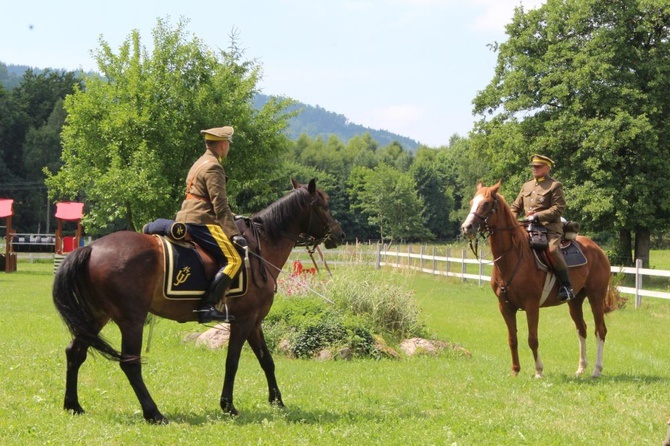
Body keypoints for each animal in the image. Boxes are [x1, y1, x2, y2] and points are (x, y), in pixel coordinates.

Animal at [51, 179, 344, 424]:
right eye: (323, 205)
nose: (339, 234)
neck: (260, 249)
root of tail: (91, 248)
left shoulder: (255, 322)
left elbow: (267, 361)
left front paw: (277, 402)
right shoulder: (243, 321)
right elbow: (233, 362)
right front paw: (228, 406)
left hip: (96, 317)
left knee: (75, 352)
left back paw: (73, 405)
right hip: (131, 320)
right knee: (130, 363)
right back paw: (153, 413)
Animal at [462, 179, 620, 378]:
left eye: (486, 204)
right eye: (471, 203)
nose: (466, 227)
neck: (513, 255)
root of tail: (598, 250)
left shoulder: (531, 305)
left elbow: (532, 339)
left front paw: (538, 370)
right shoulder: (505, 307)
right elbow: (512, 339)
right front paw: (515, 370)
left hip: (595, 297)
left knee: (600, 330)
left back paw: (597, 369)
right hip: (575, 301)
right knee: (581, 329)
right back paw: (581, 367)